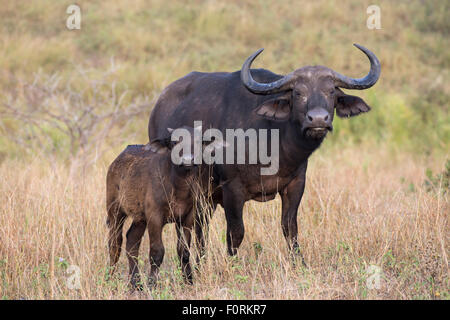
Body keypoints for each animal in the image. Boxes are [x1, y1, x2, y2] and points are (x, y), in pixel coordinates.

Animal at [149, 44, 380, 260]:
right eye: (298, 93)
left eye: (331, 91)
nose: (318, 119)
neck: (275, 146)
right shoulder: (232, 188)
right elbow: (236, 232)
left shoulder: (296, 184)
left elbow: (290, 228)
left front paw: (299, 263)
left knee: (200, 228)